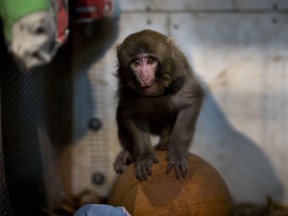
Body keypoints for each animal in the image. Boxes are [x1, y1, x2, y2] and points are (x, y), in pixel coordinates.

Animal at [113, 29, 204, 181]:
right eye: (136, 63)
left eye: (150, 61)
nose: (144, 77)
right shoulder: (128, 93)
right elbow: (131, 114)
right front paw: (144, 156)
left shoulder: (179, 79)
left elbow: (189, 104)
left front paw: (177, 154)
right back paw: (127, 153)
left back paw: (165, 143)